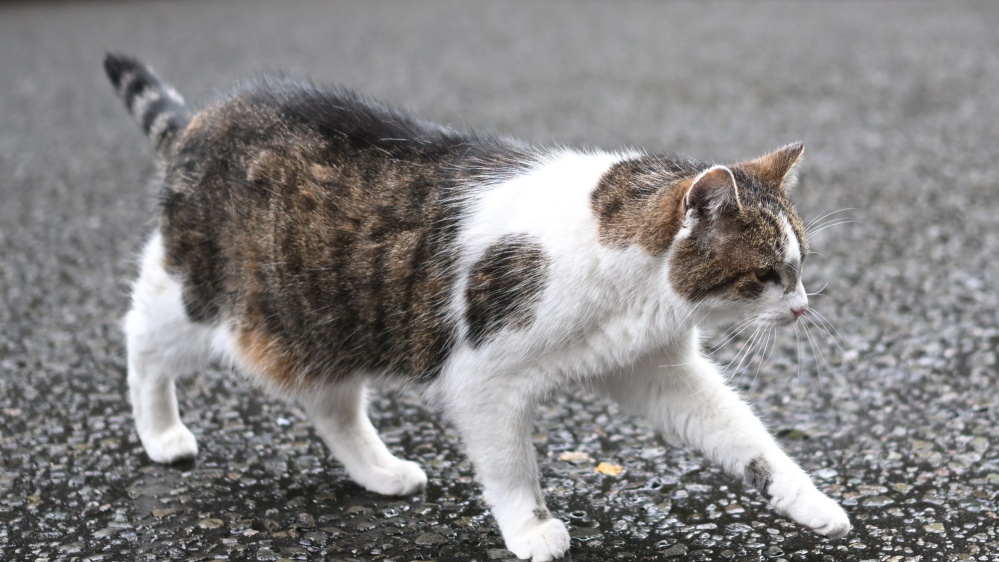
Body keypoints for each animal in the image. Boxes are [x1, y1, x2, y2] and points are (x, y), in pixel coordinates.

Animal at [103, 53, 852, 560]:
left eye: (799, 266)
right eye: (767, 274)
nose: (801, 307)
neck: (631, 279)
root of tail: (204, 119)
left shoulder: (654, 369)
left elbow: (748, 441)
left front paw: (810, 503)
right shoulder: (485, 381)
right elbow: (512, 465)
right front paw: (530, 530)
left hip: (330, 317)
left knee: (329, 402)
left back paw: (380, 472)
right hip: (205, 297)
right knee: (141, 335)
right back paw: (160, 432)